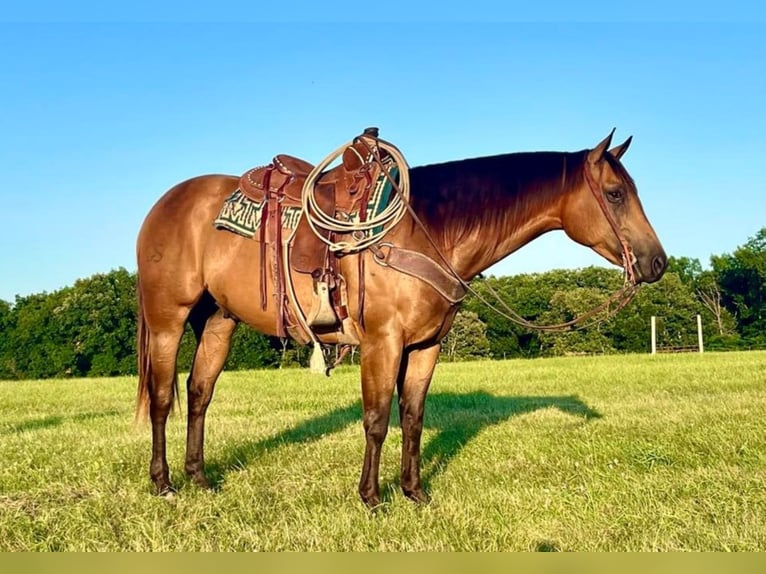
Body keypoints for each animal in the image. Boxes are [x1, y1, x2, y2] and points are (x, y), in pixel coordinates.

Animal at [135, 130, 668, 508]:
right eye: (615, 194)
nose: (658, 262)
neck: (427, 230)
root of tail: (163, 205)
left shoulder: (425, 346)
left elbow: (411, 417)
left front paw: (414, 492)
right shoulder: (382, 343)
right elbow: (376, 421)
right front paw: (371, 497)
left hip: (219, 322)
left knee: (199, 394)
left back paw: (200, 478)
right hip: (167, 320)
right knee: (162, 398)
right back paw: (163, 483)